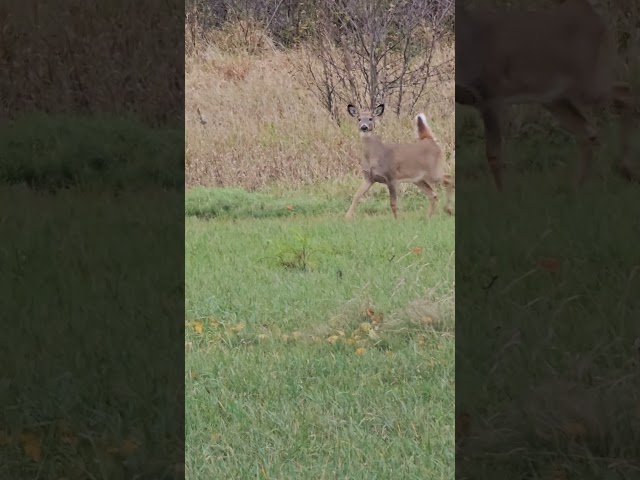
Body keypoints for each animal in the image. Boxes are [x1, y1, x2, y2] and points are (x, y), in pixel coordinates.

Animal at [456, 0, 640, 191]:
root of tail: (595, 17)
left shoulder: (490, 93)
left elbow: (493, 155)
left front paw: (504, 195)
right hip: (554, 97)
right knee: (587, 131)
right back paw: (577, 187)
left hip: (587, 81)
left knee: (626, 94)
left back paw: (626, 169)